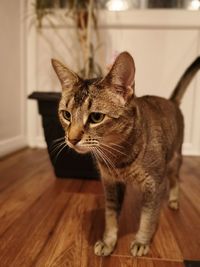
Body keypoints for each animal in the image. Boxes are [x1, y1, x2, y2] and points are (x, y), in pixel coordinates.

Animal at [51, 52, 200, 258]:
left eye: (96, 117)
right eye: (66, 115)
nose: (72, 139)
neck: (118, 159)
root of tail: (171, 101)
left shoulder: (155, 184)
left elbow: (148, 217)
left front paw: (141, 242)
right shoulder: (110, 184)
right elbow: (111, 217)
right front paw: (108, 242)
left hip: (173, 160)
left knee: (175, 179)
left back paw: (174, 200)